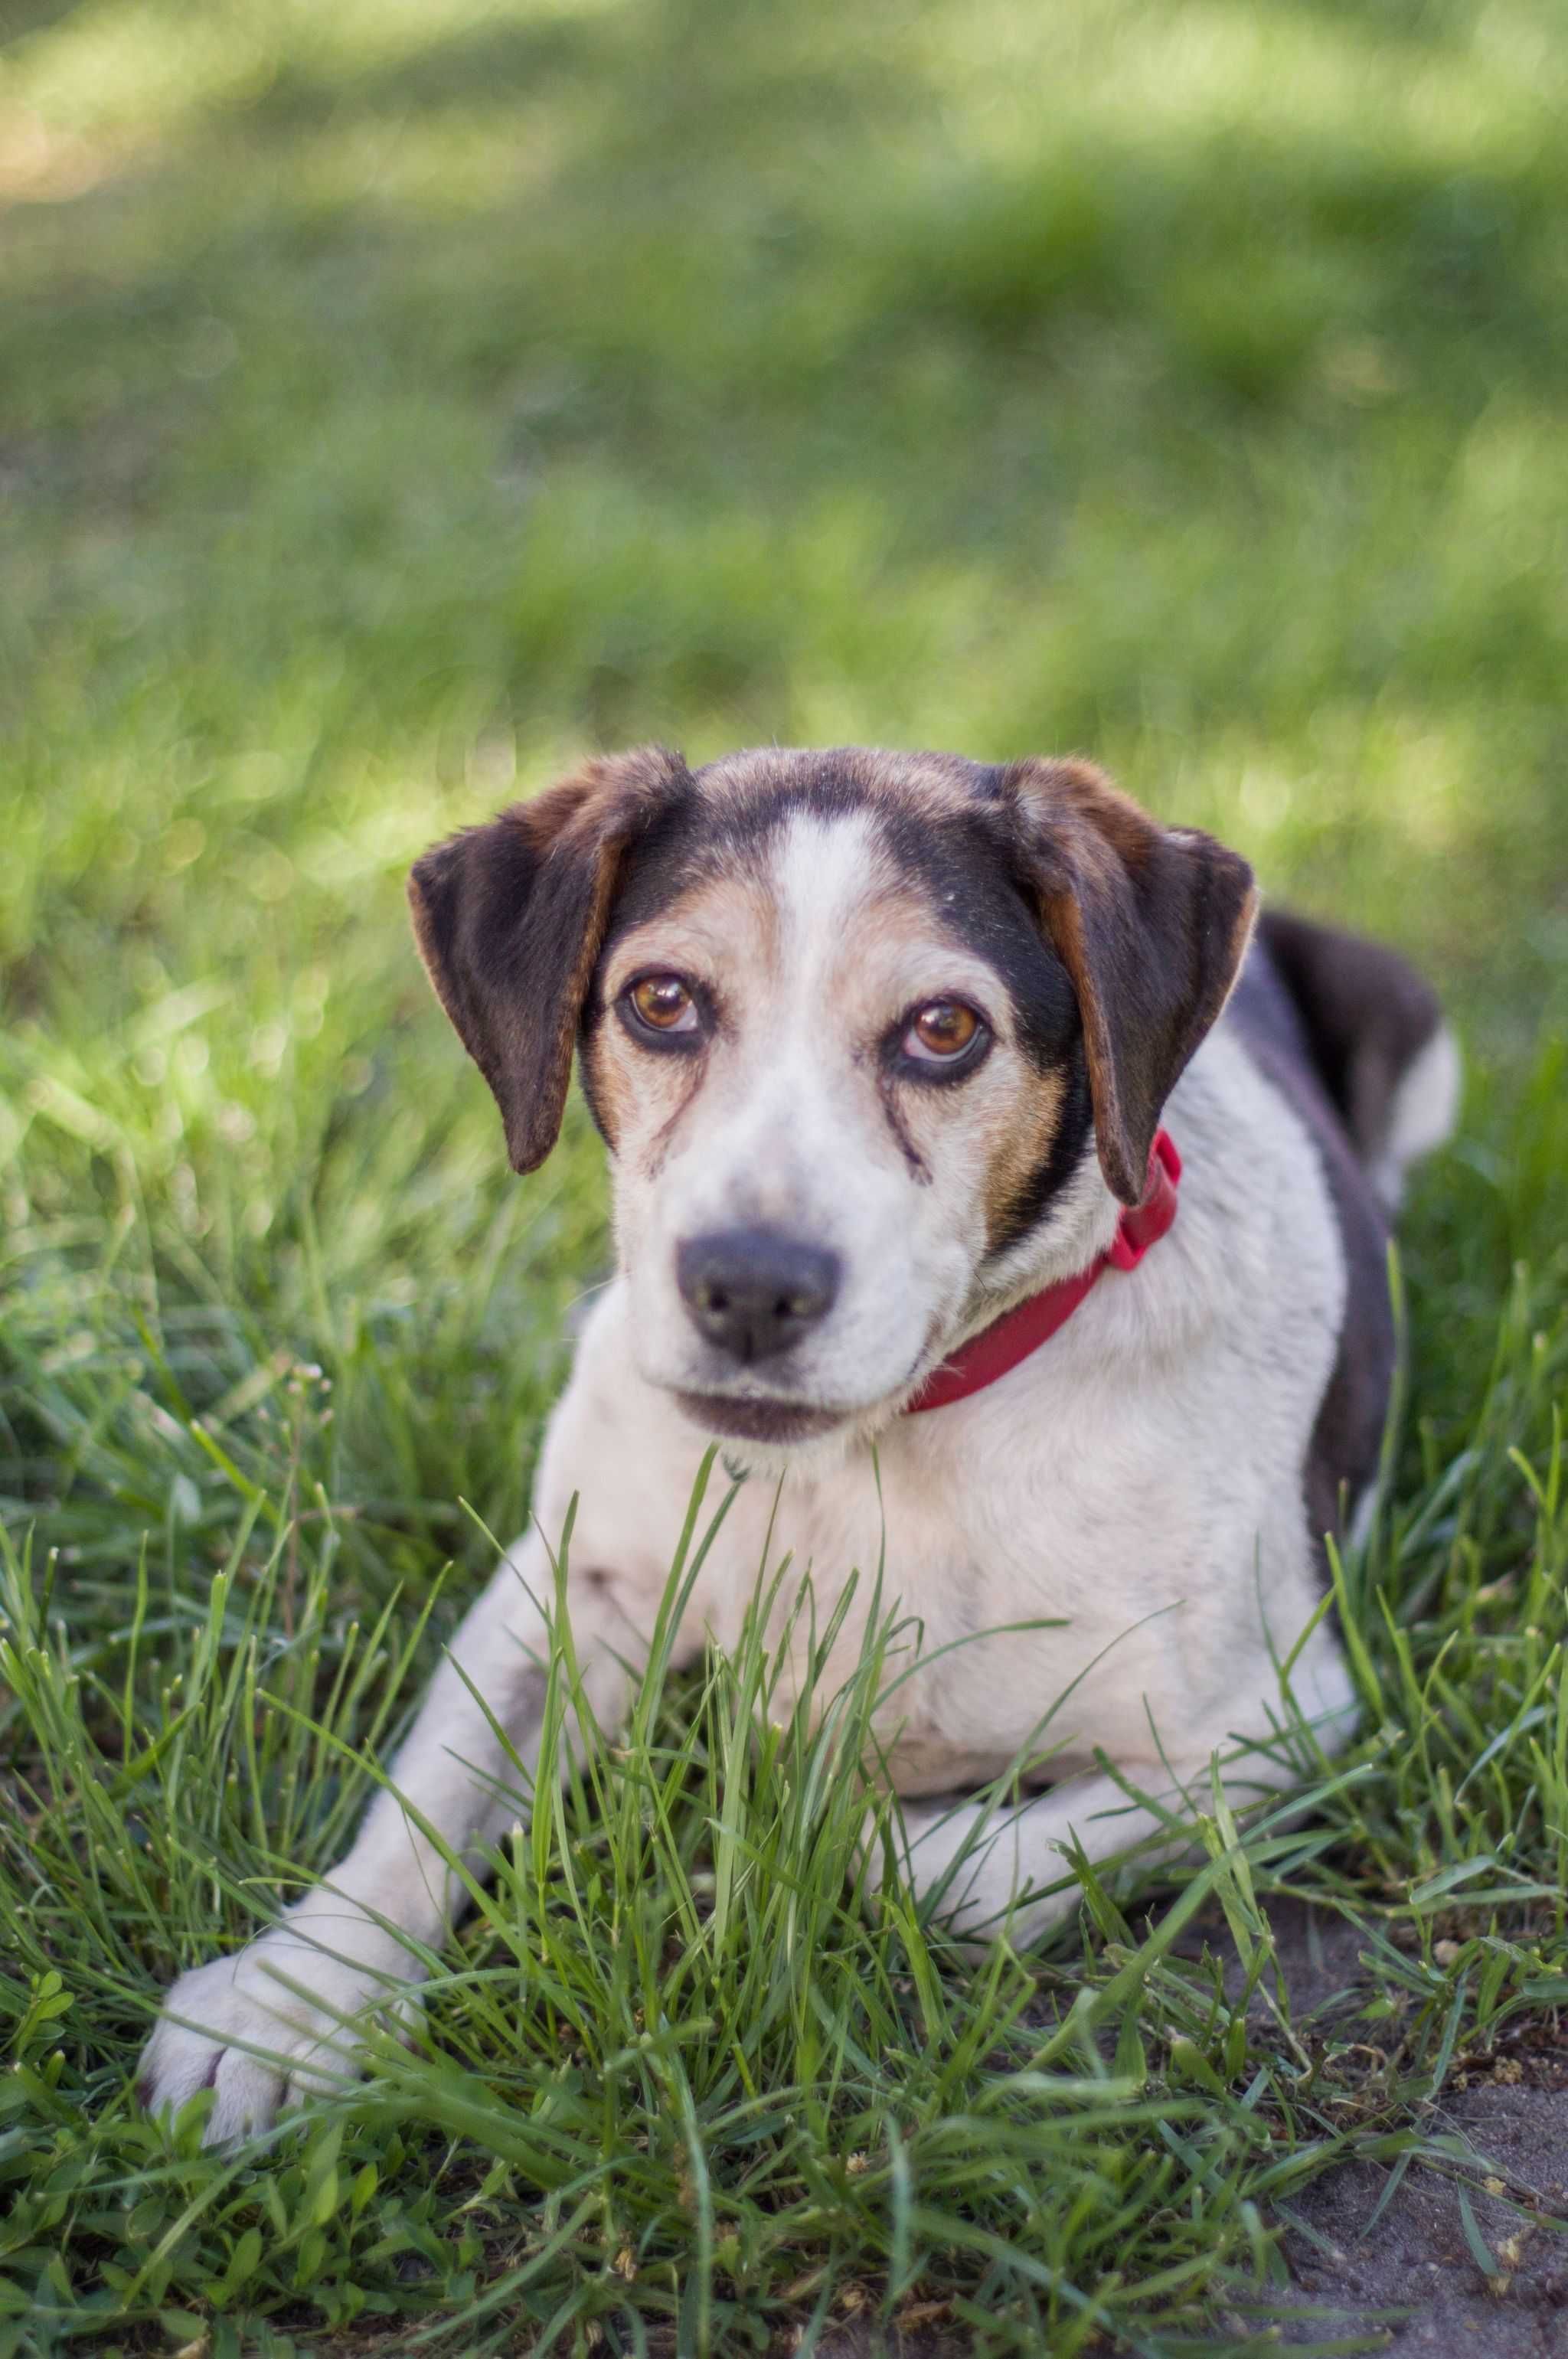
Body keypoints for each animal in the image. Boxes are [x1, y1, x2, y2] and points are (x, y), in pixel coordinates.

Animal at [137, 750, 1452, 2142]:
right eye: (660, 1000)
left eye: (945, 1029)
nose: (749, 1287)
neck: (878, 1450)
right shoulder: (568, 1584)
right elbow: (423, 1801)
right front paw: (291, 1998)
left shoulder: (1271, 1723)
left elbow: (963, 1870)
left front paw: (832, 1836)